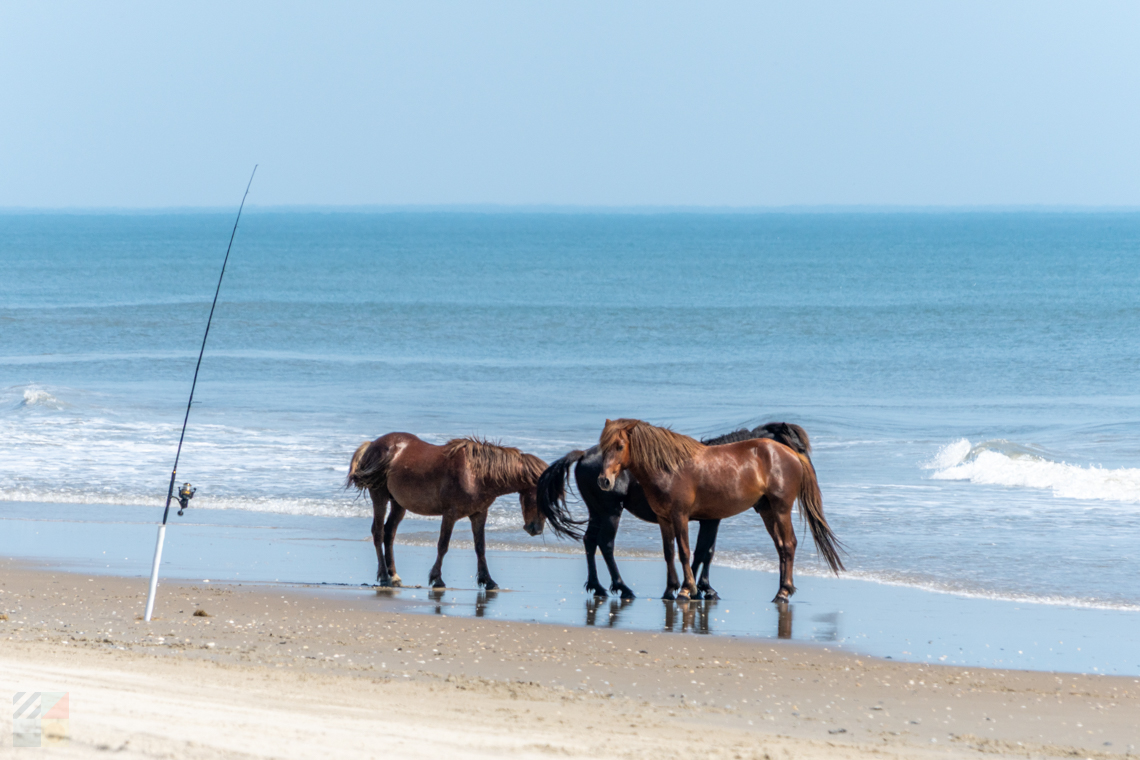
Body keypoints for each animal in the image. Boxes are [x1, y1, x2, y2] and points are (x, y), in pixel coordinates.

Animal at [346, 433, 547, 590]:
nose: (535, 529)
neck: (476, 475)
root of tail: (372, 444)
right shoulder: (450, 514)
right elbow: (443, 545)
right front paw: (437, 579)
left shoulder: (479, 514)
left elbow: (480, 547)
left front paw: (488, 581)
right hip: (379, 496)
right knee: (378, 532)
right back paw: (384, 577)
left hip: (398, 503)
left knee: (389, 533)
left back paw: (394, 576)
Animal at [538, 423, 812, 601]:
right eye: (798, 445)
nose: (803, 466)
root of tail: (583, 454)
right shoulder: (707, 520)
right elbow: (700, 552)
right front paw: (697, 588)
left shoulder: (708, 519)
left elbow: (702, 551)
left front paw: (699, 588)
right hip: (610, 512)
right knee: (605, 544)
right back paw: (622, 587)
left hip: (597, 511)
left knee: (589, 541)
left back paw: (597, 586)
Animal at [595, 418, 843, 602]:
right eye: (604, 447)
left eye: (619, 446)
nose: (604, 481)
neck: (670, 468)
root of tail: (788, 455)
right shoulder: (665, 519)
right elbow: (670, 552)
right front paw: (671, 590)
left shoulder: (681, 516)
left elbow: (688, 552)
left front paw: (687, 590)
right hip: (768, 511)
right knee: (782, 546)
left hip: (780, 509)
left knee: (788, 544)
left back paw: (783, 592)